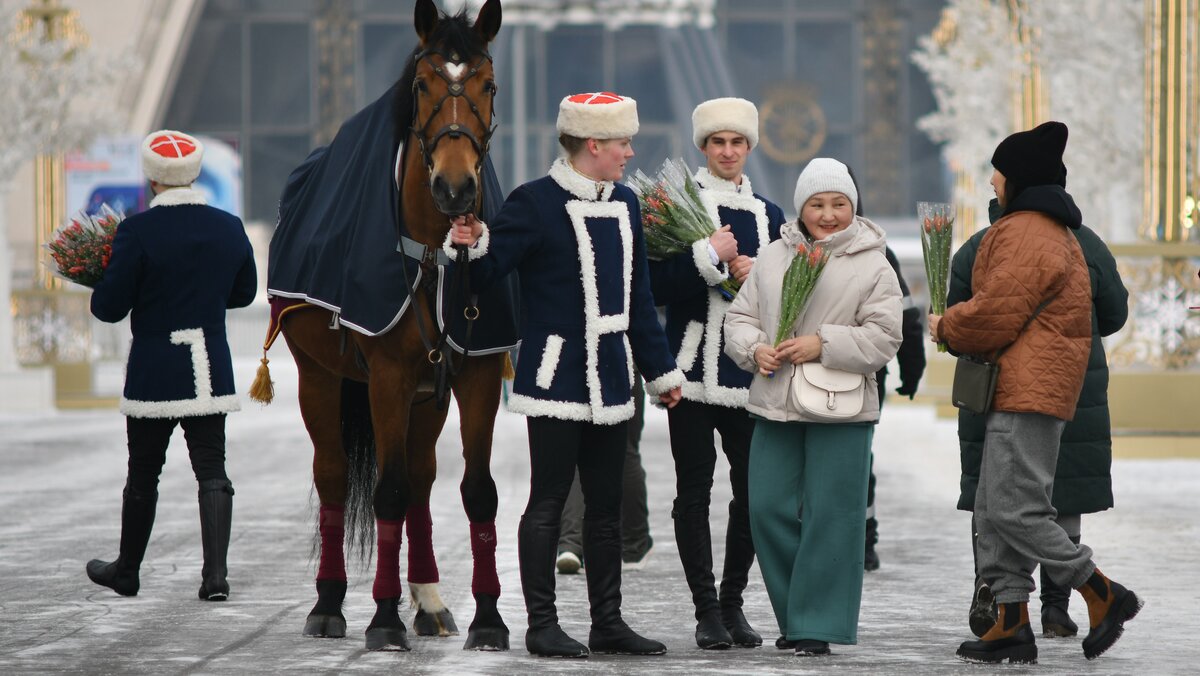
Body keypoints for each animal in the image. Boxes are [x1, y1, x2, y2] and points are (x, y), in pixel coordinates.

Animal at [270, 1, 508, 657]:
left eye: (488, 84)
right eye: (422, 84)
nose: (455, 187)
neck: (432, 257)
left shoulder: (475, 373)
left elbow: (475, 490)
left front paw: (487, 618)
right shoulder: (387, 377)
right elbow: (387, 492)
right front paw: (381, 616)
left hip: (430, 394)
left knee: (423, 479)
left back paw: (429, 601)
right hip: (319, 375)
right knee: (333, 477)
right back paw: (329, 604)